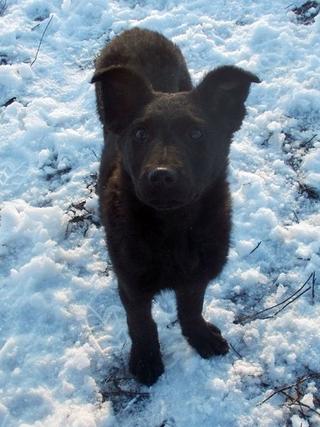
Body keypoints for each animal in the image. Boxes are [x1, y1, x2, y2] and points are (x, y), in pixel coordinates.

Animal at [90, 27, 260, 388]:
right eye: (140, 134)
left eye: (196, 134)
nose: (161, 176)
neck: (173, 226)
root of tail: (137, 30)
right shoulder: (132, 284)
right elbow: (141, 324)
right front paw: (146, 359)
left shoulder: (197, 276)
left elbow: (191, 308)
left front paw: (199, 337)